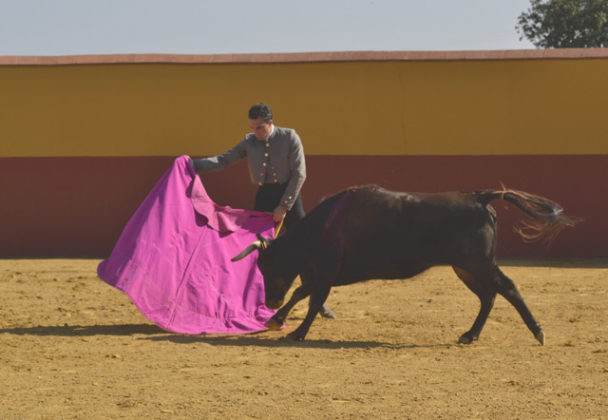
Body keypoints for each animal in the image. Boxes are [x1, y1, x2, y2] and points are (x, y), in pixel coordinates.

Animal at [230, 187, 576, 344]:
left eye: (267, 266)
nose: (269, 300)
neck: (322, 226)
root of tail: (480, 198)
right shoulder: (323, 273)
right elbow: (305, 293)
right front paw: (276, 320)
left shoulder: (326, 270)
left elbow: (312, 298)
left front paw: (294, 331)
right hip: (465, 268)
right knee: (488, 296)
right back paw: (470, 334)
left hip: (477, 263)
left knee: (506, 287)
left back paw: (538, 331)